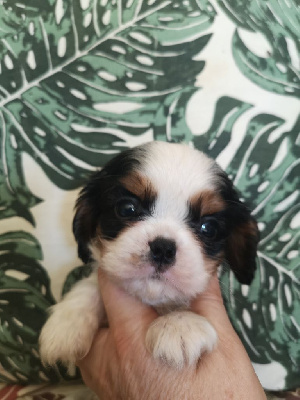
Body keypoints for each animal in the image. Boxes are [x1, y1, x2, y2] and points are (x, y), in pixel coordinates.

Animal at [39, 142, 258, 370]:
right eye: (127, 209)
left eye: (209, 228)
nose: (163, 248)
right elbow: (89, 286)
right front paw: (67, 323)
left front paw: (180, 325)